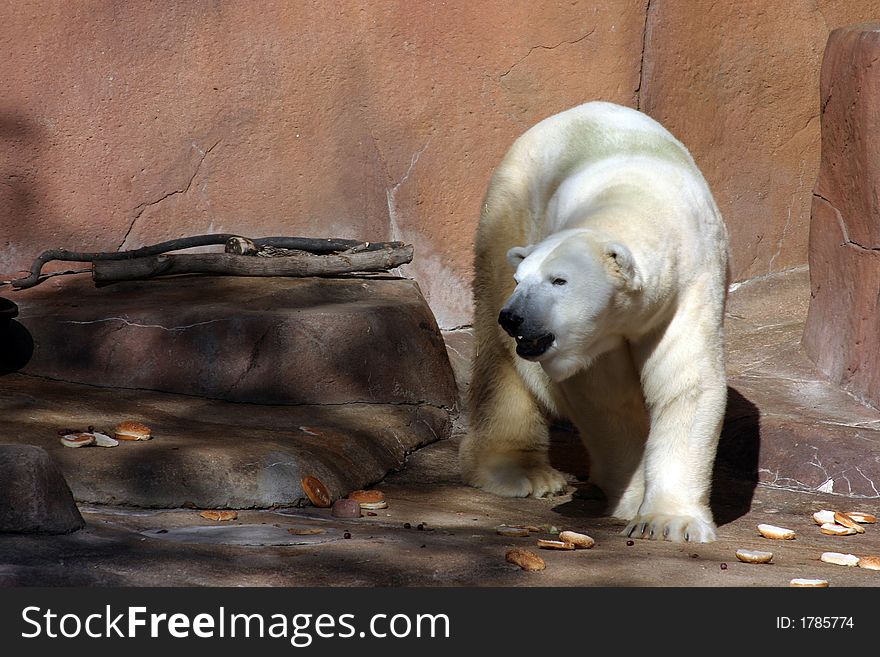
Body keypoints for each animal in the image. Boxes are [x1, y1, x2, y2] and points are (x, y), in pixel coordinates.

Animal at [460, 101, 728, 544]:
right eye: (523, 279)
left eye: (559, 280)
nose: (514, 316)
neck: (637, 202)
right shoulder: (593, 337)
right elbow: (606, 399)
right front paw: (632, 499)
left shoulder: (689, 286)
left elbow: (686, 383)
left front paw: (668, 522)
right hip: (511, 204)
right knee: (499, 354)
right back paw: (523, 473)